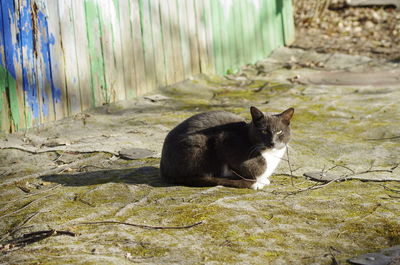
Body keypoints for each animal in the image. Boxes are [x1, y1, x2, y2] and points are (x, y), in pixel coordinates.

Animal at [159, 106, 294, 189]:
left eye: (280, 132)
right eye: (264, 131)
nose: (272, 142)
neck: (269, 155)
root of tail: (164, 170)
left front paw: (264, 179)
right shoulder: (224, 140)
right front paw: (257, 183)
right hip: (198, 144)